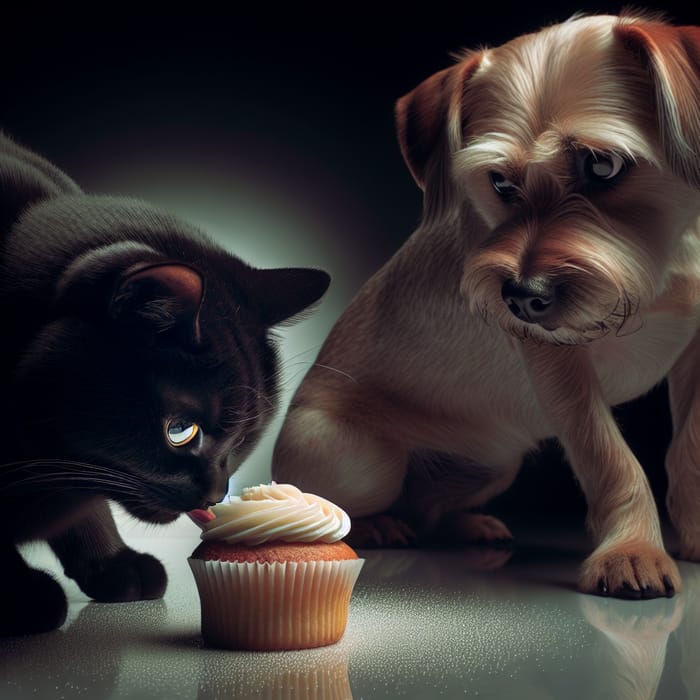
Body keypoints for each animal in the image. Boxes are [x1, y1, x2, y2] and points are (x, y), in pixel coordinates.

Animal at [0, 134, 330, 636]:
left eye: (245, 437)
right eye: (180, 431)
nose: (215, 493)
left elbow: (88, 510)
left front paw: (118, 568)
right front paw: (22, 597)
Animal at [272, 13, 700, 600]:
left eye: (603, 165)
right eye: (499, 181)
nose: (520, 297)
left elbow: (687, 449)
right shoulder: (560, 367)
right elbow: (610, 457)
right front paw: (631, 551)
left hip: (494, 464)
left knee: (427, 507)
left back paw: (464, 525)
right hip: (359, 459)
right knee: (333, 508)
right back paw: (376, 526)